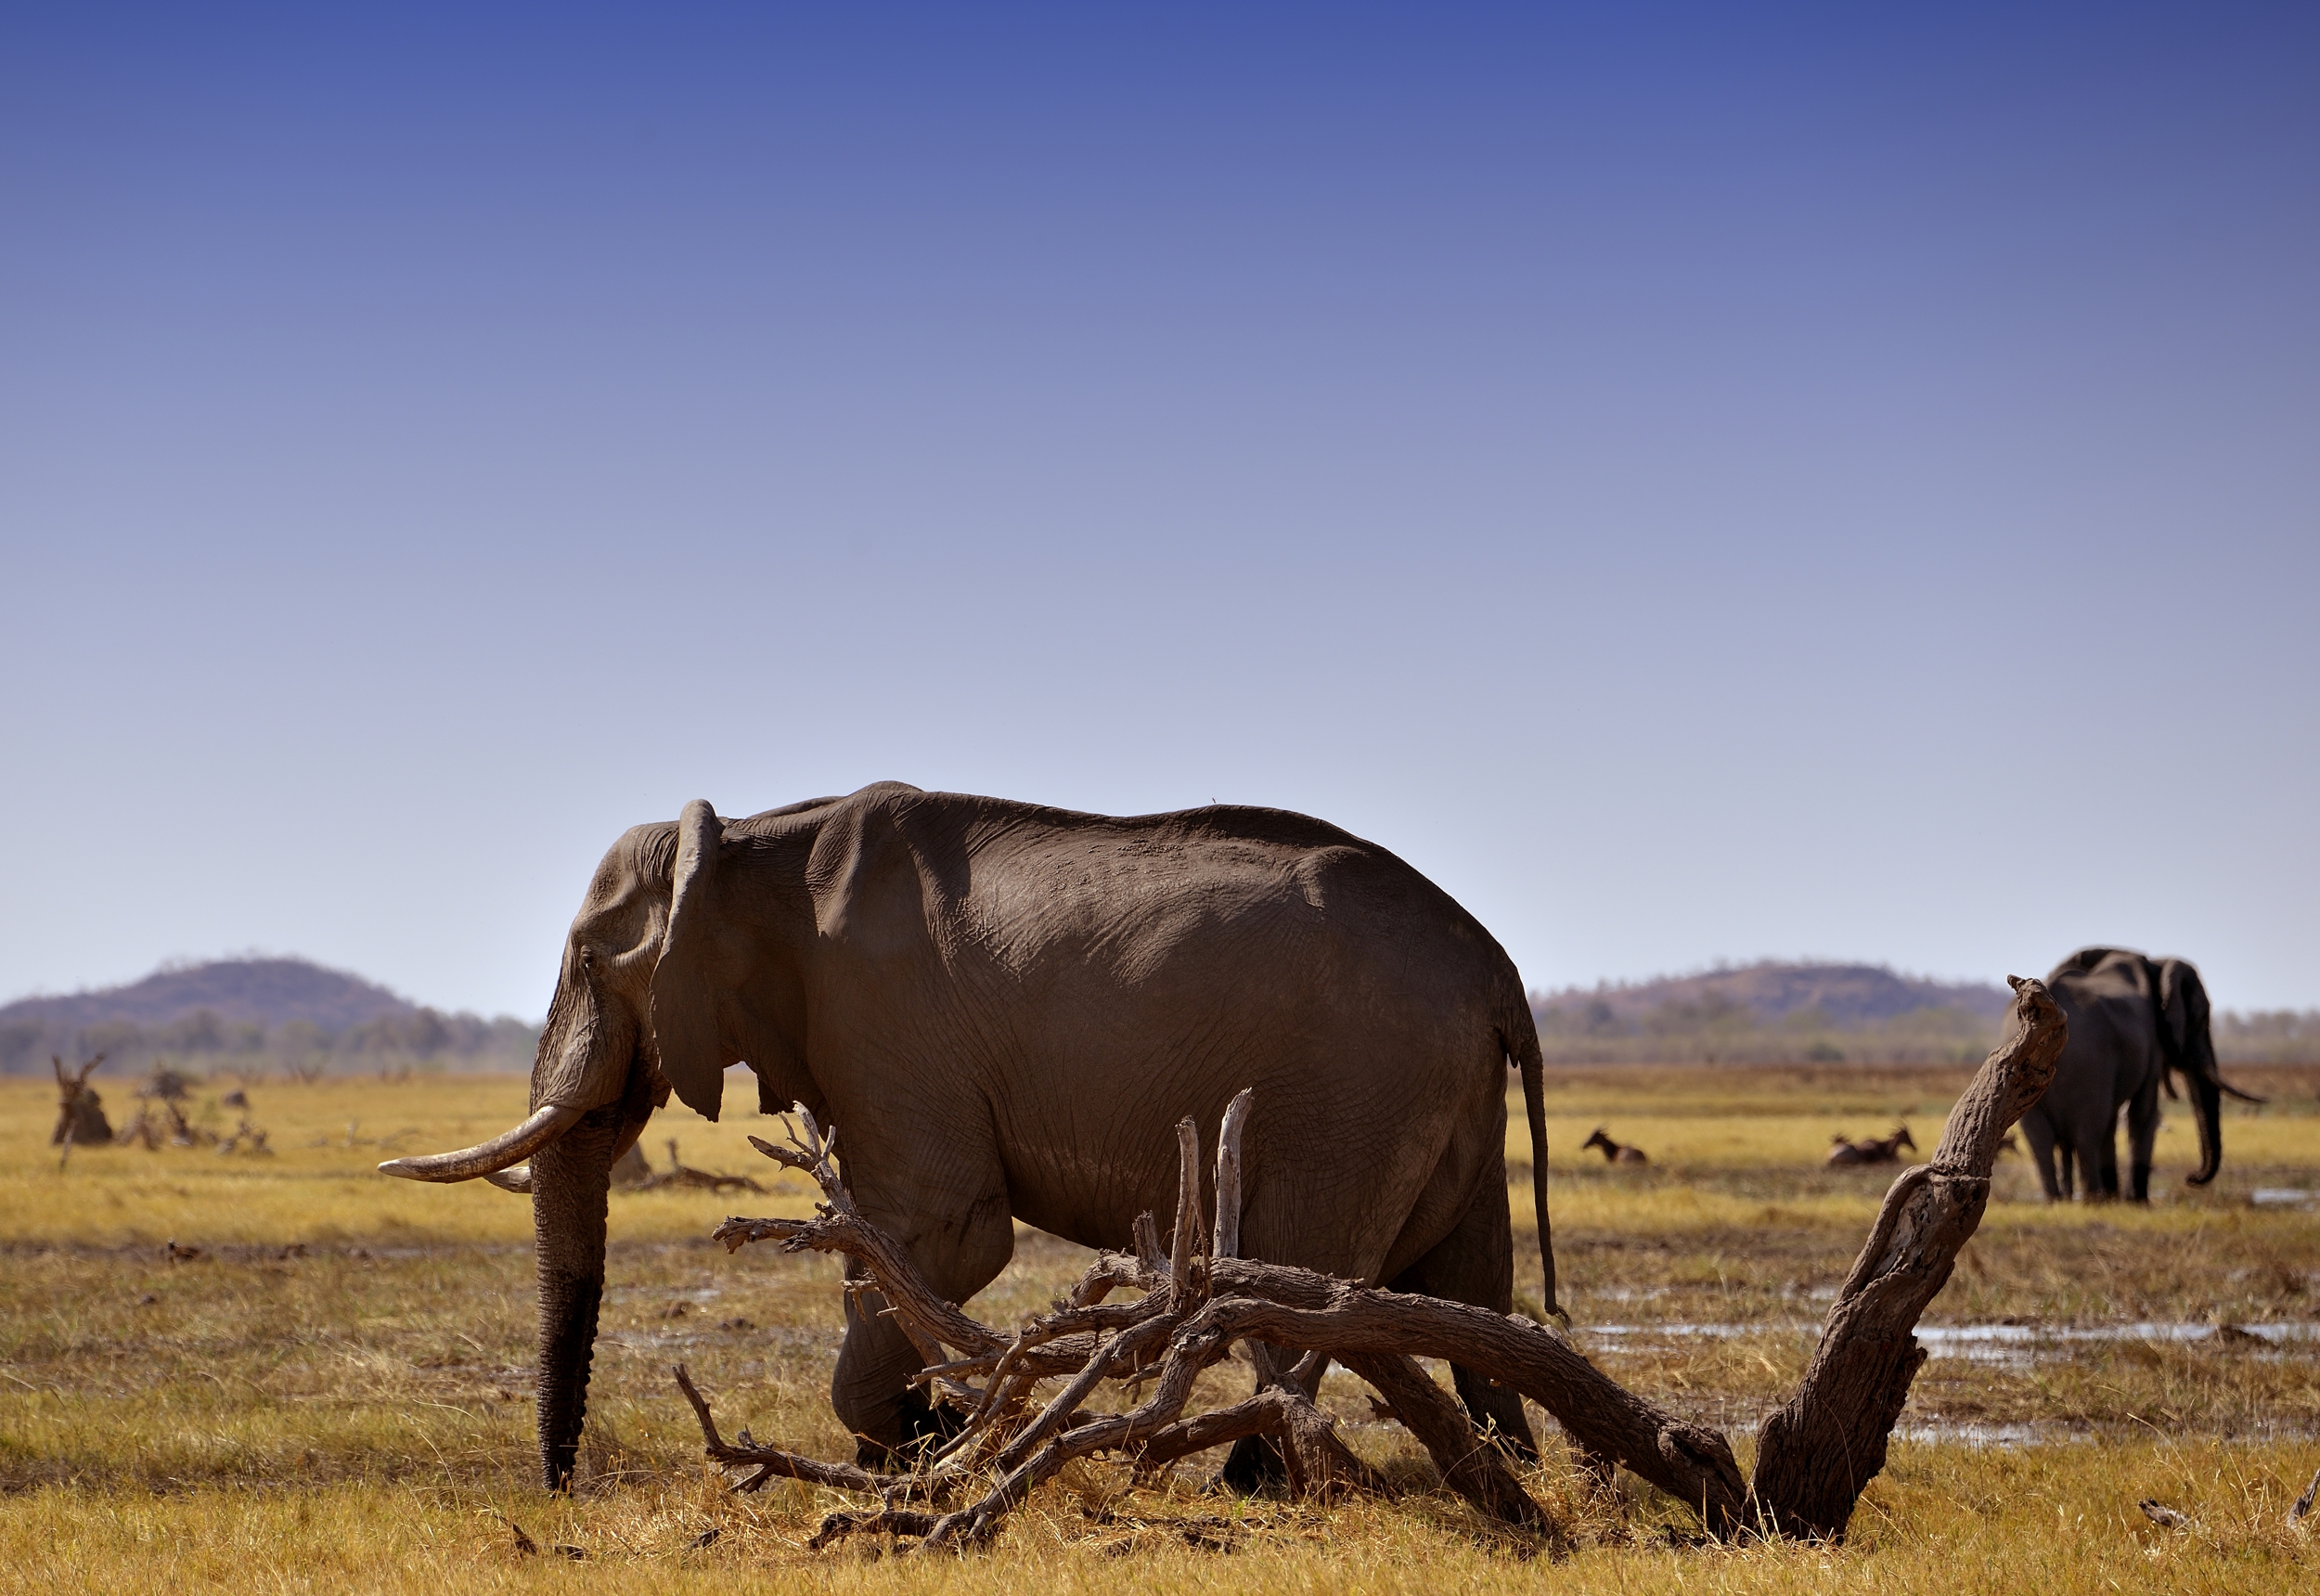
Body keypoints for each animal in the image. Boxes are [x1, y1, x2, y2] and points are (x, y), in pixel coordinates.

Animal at [383, 783, 1558, 1491]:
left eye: (589, 958)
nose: (560, 1492)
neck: (741, 843)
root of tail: (1497, 965)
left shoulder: (881, 1018)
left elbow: (947, 1234)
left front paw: (922, 1445)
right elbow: (899, 1245)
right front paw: (930, 1439)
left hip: (1357, 1091)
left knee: (1306, 1281)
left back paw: (1254, 1488)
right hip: (1442, 1095)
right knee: (1472, 1288)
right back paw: (1518, 1469)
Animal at [2018, 947, 2261, 1201]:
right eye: (2201, 1019)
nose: (2191, 1178)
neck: (2157, 965)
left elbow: (2118, 1118)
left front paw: (2119, 1198)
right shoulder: (2151, 1041)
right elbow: (2144, 1112)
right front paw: (2137, 1201)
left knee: (2041, 1141)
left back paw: (2060, 1200)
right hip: (2089, 1065)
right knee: (2087, 1133)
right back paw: (2094, 1199)